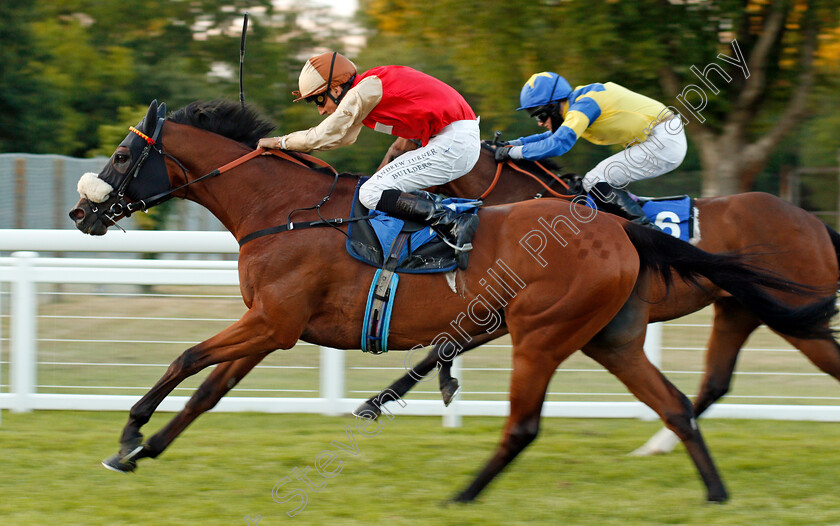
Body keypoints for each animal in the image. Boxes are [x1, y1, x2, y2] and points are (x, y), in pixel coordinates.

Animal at [360, 140, 840, 458]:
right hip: (740, 310)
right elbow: (443, 346)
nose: (370, 197)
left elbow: (446, 345)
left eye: (399, 151)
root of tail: (815, 223)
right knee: (715, 382)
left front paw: (389, 397)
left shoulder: (522, 307)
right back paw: (658, 445)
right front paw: (384, 399)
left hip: (791, 314)